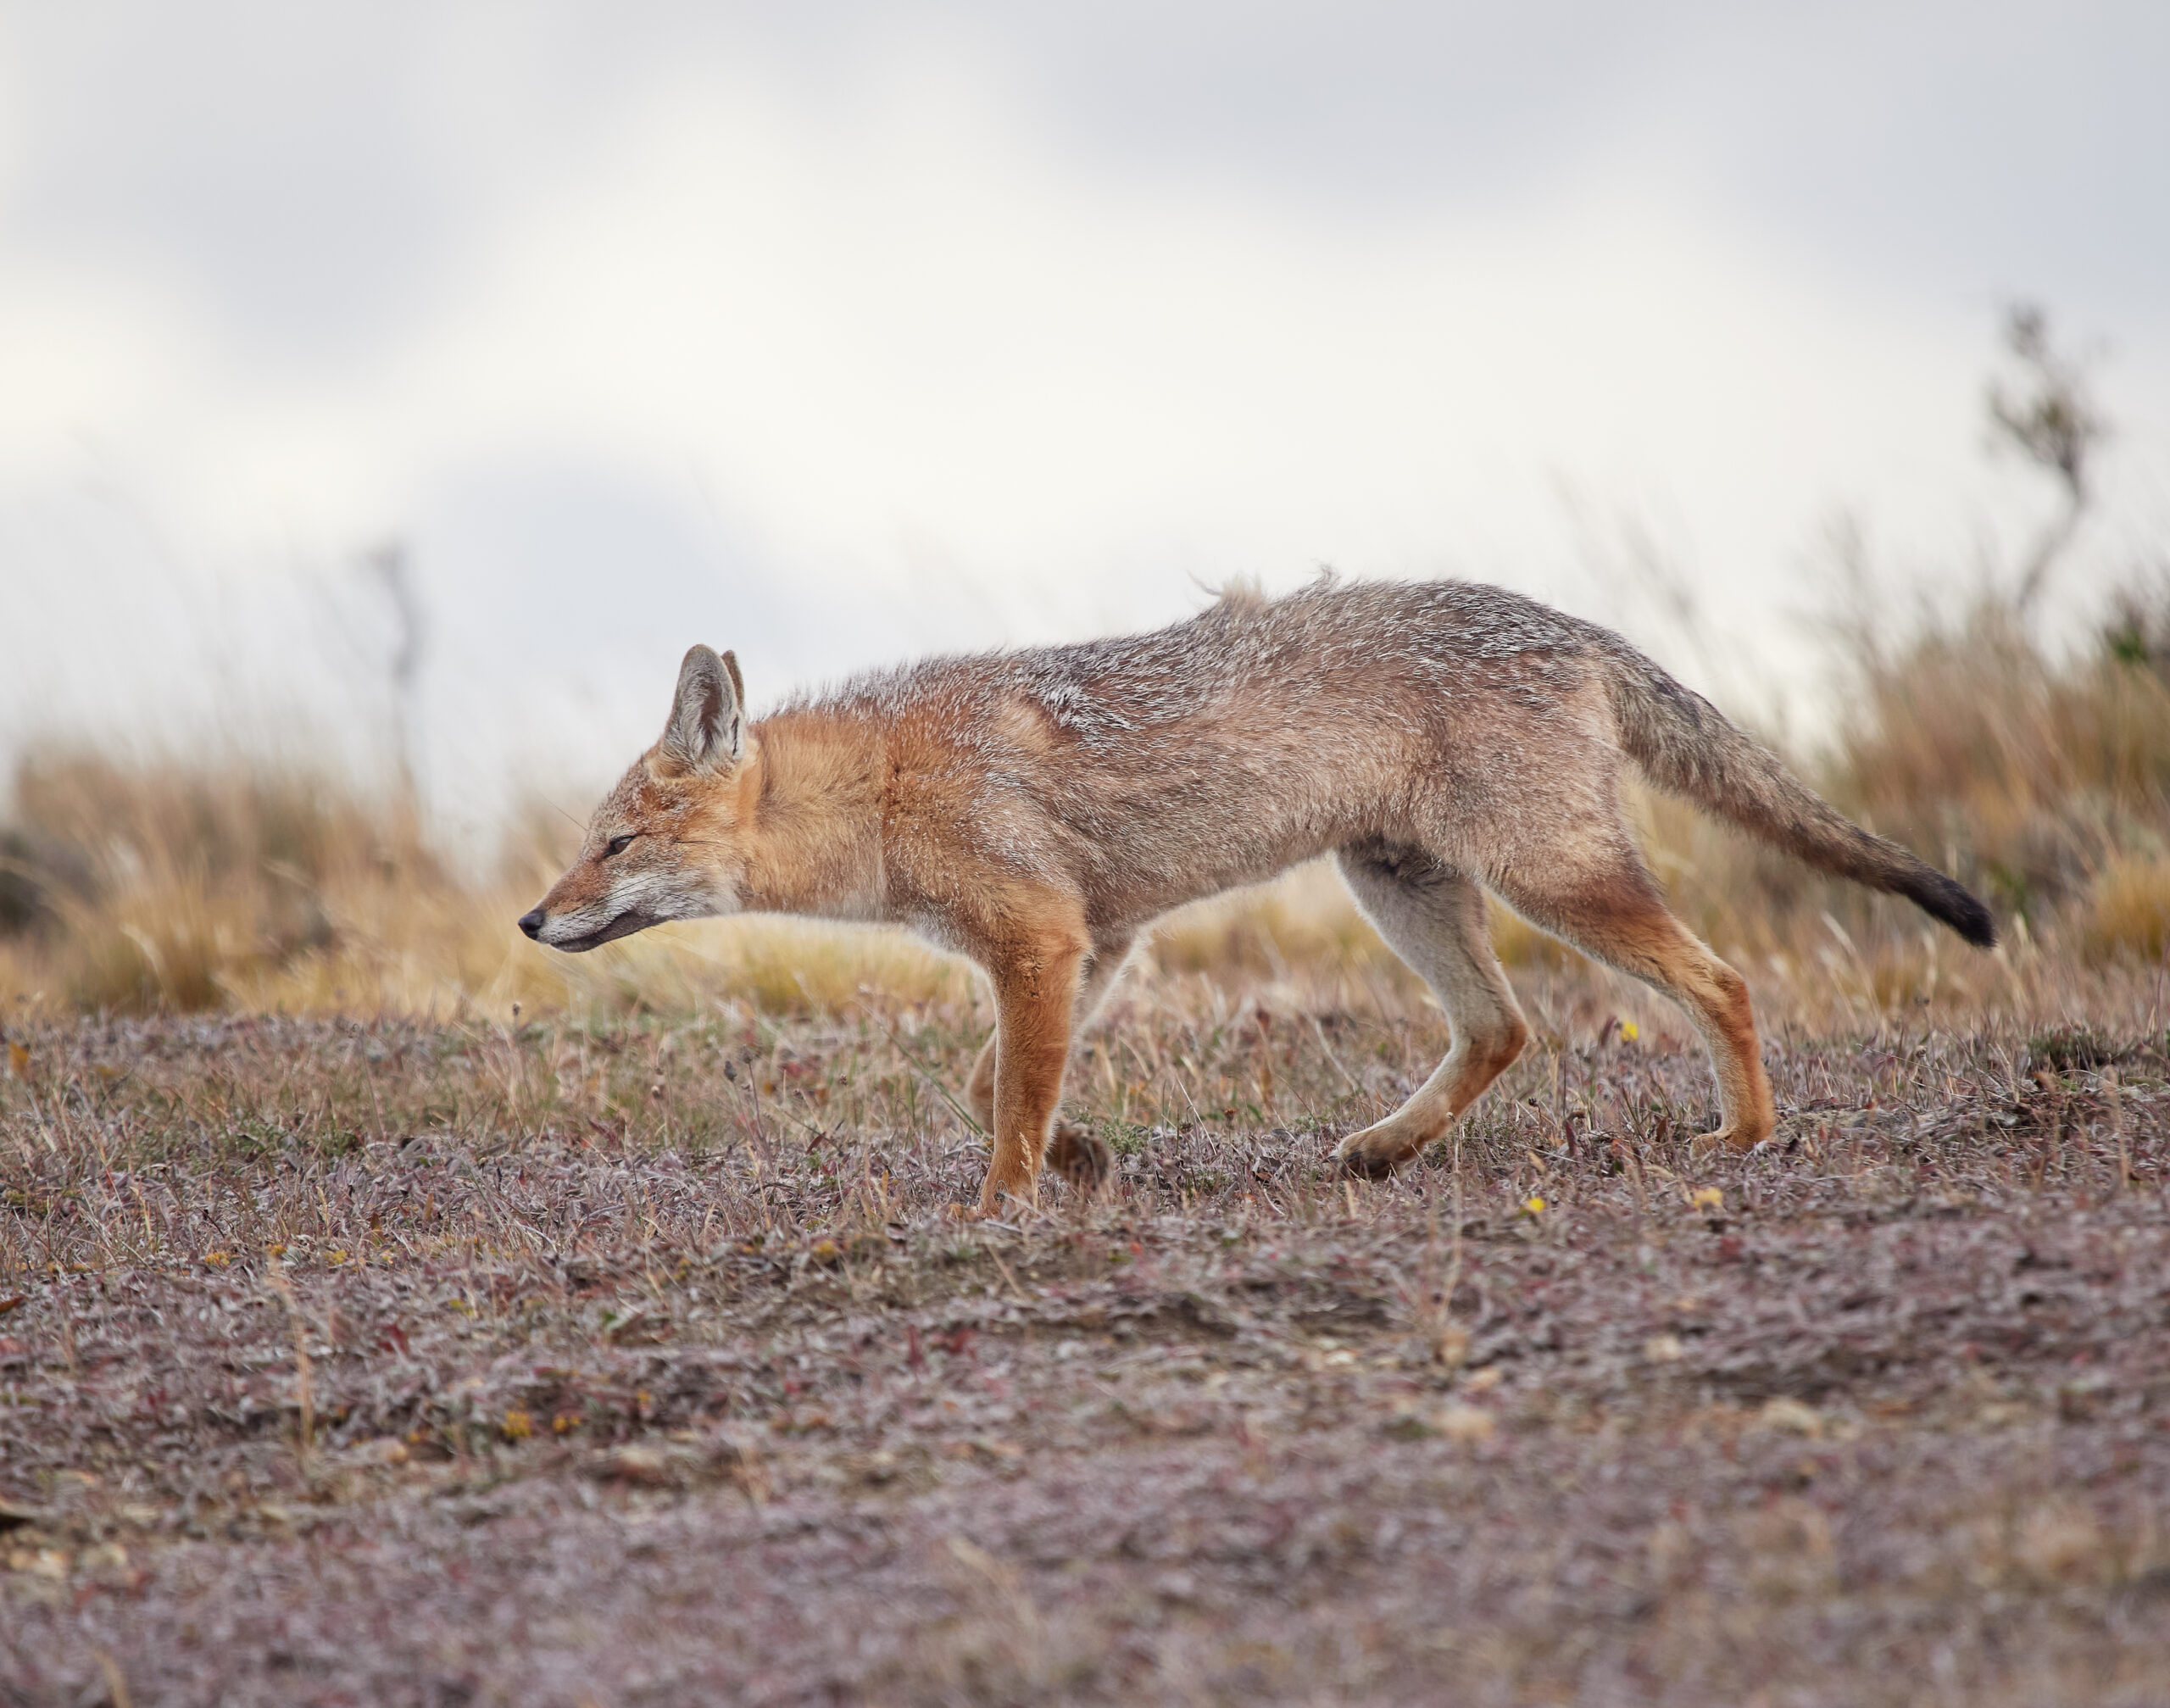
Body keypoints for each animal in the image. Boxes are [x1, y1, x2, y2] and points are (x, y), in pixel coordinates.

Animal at [516, 586, 1987, 1215]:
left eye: (614, 845)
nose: (529, 923)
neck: (882, 783)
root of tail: (1565, 620)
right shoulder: (1094, 936)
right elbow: (996, 1078)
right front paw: (1081, 1158)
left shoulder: (1043, 937)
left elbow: (1007, 1094)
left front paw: (1005, 1201)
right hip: (1403, 884)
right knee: (1502, 1027)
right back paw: (1385, 1150)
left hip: (1554, 881)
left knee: (1723, 980)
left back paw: (1746, 1134)